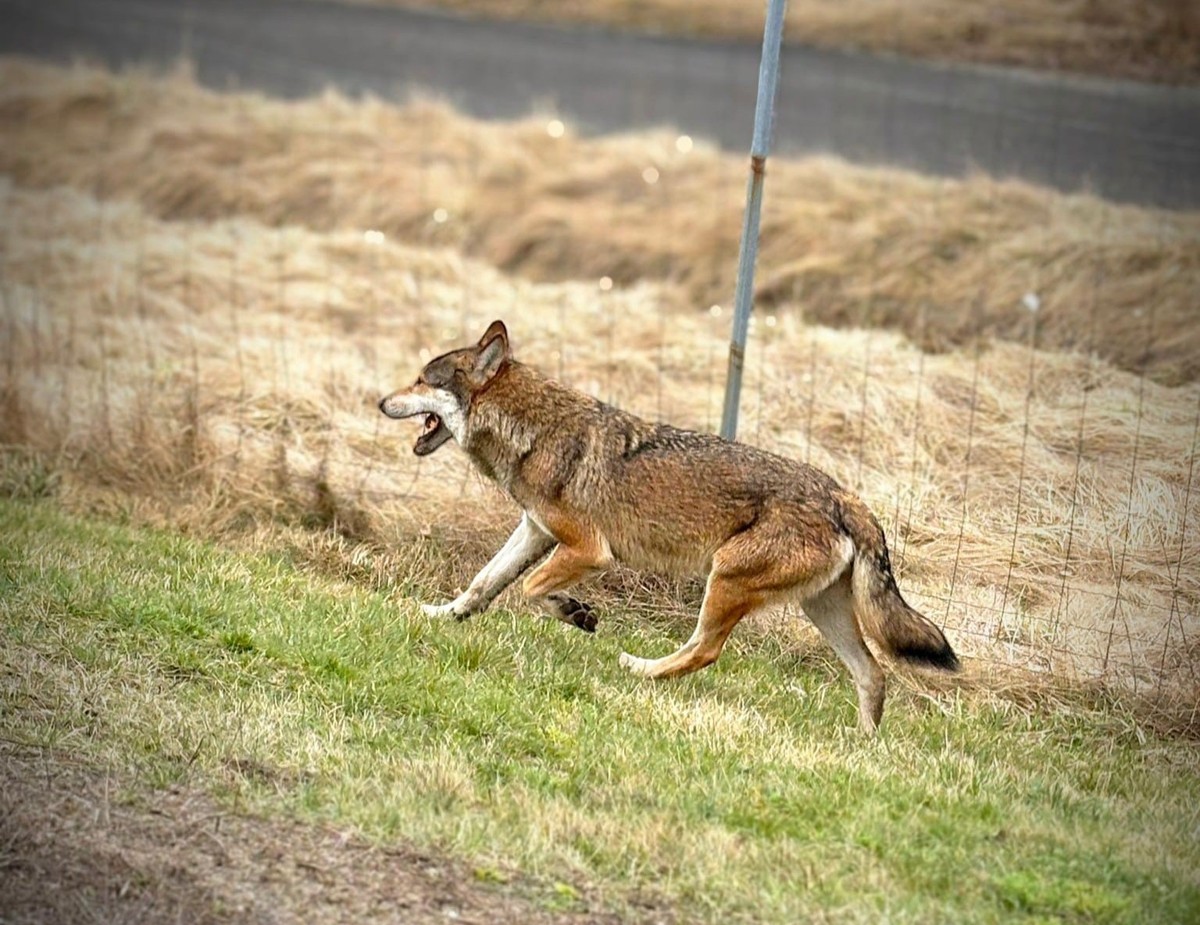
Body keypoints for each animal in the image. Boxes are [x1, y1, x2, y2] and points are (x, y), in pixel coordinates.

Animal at [379, 320, 958, 731]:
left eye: (421, 379)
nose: (380, 400)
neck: (533, 431)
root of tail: (845, 496)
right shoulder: (536, 531)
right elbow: (483, 584)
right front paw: (438, 615)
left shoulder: (588, 550)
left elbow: (530, 589)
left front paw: (576, 613)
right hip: (819, 609)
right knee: (873, 674)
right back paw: (865, 748)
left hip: (726, 581)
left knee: (705, 651)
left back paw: (637, 668)